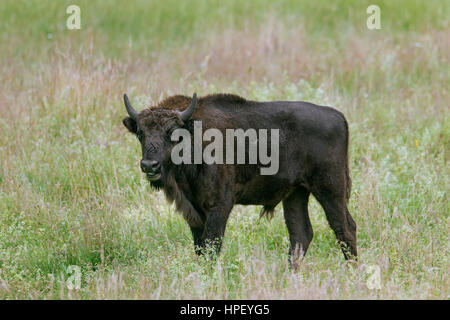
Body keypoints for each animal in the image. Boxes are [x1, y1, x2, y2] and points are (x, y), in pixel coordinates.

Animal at [121, 92, 356, 264]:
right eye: (140, 133)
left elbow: (211, 246)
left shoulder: (219, 207)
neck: (193, 135)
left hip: (330, 190)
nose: (149, 165)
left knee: (345, 229)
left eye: (172, 132)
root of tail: (337, 116)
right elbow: (200, 248)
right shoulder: (194, 213)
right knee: (301, 235)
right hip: (296, 193)